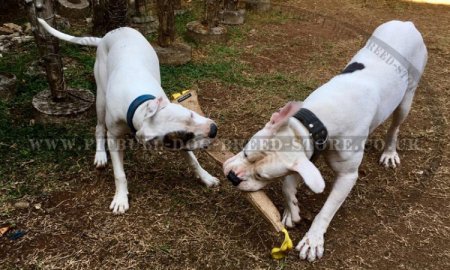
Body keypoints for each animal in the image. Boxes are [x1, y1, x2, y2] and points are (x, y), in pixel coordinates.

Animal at [223, 21, 428, 262]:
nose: (232, 177)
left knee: (395, 126)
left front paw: (313, 240)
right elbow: (287, 184)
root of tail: (407, 23)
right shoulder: (309, 153)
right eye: (246, 152)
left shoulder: (347, 176)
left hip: (407, 98)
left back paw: (389, 152)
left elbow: (327, 209)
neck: (318, 121)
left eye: (262, 176)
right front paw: (292, 210)